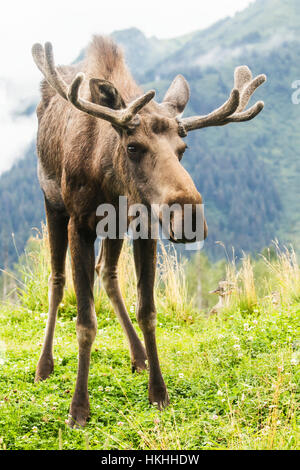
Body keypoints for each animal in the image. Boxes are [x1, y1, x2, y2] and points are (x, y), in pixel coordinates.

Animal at [31, 36, 266, 426]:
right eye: (132, 146)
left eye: (183, 149)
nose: (188, 217)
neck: (108, 178)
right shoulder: (79, 222)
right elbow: (85, 321)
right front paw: (78, 409)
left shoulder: (142, 226)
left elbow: (148, 311)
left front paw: (158, 392)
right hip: (53, 204)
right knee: (57, 280)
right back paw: (44, 366)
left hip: (114, 228)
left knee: (107, 272)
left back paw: (138, 357)